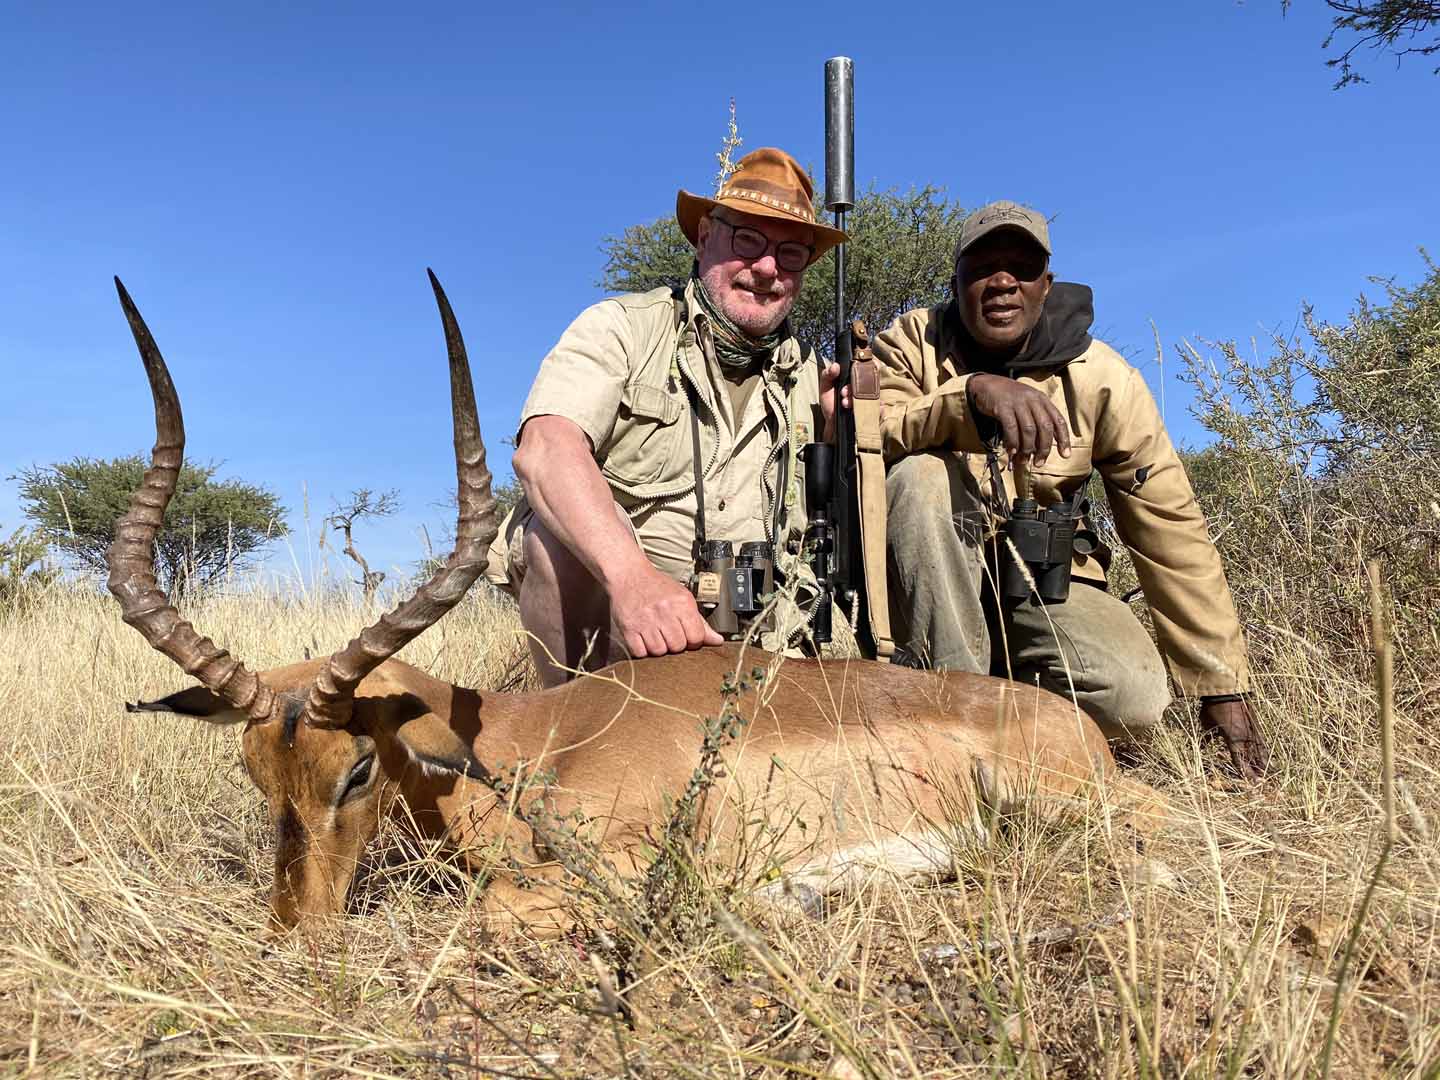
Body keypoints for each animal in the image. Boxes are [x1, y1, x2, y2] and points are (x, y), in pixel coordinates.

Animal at [107, 272, 1168, 936]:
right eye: (257, 774)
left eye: (356, 770)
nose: (299, 932)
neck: (533, 743)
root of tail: (1071, 726)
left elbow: (497, 908)